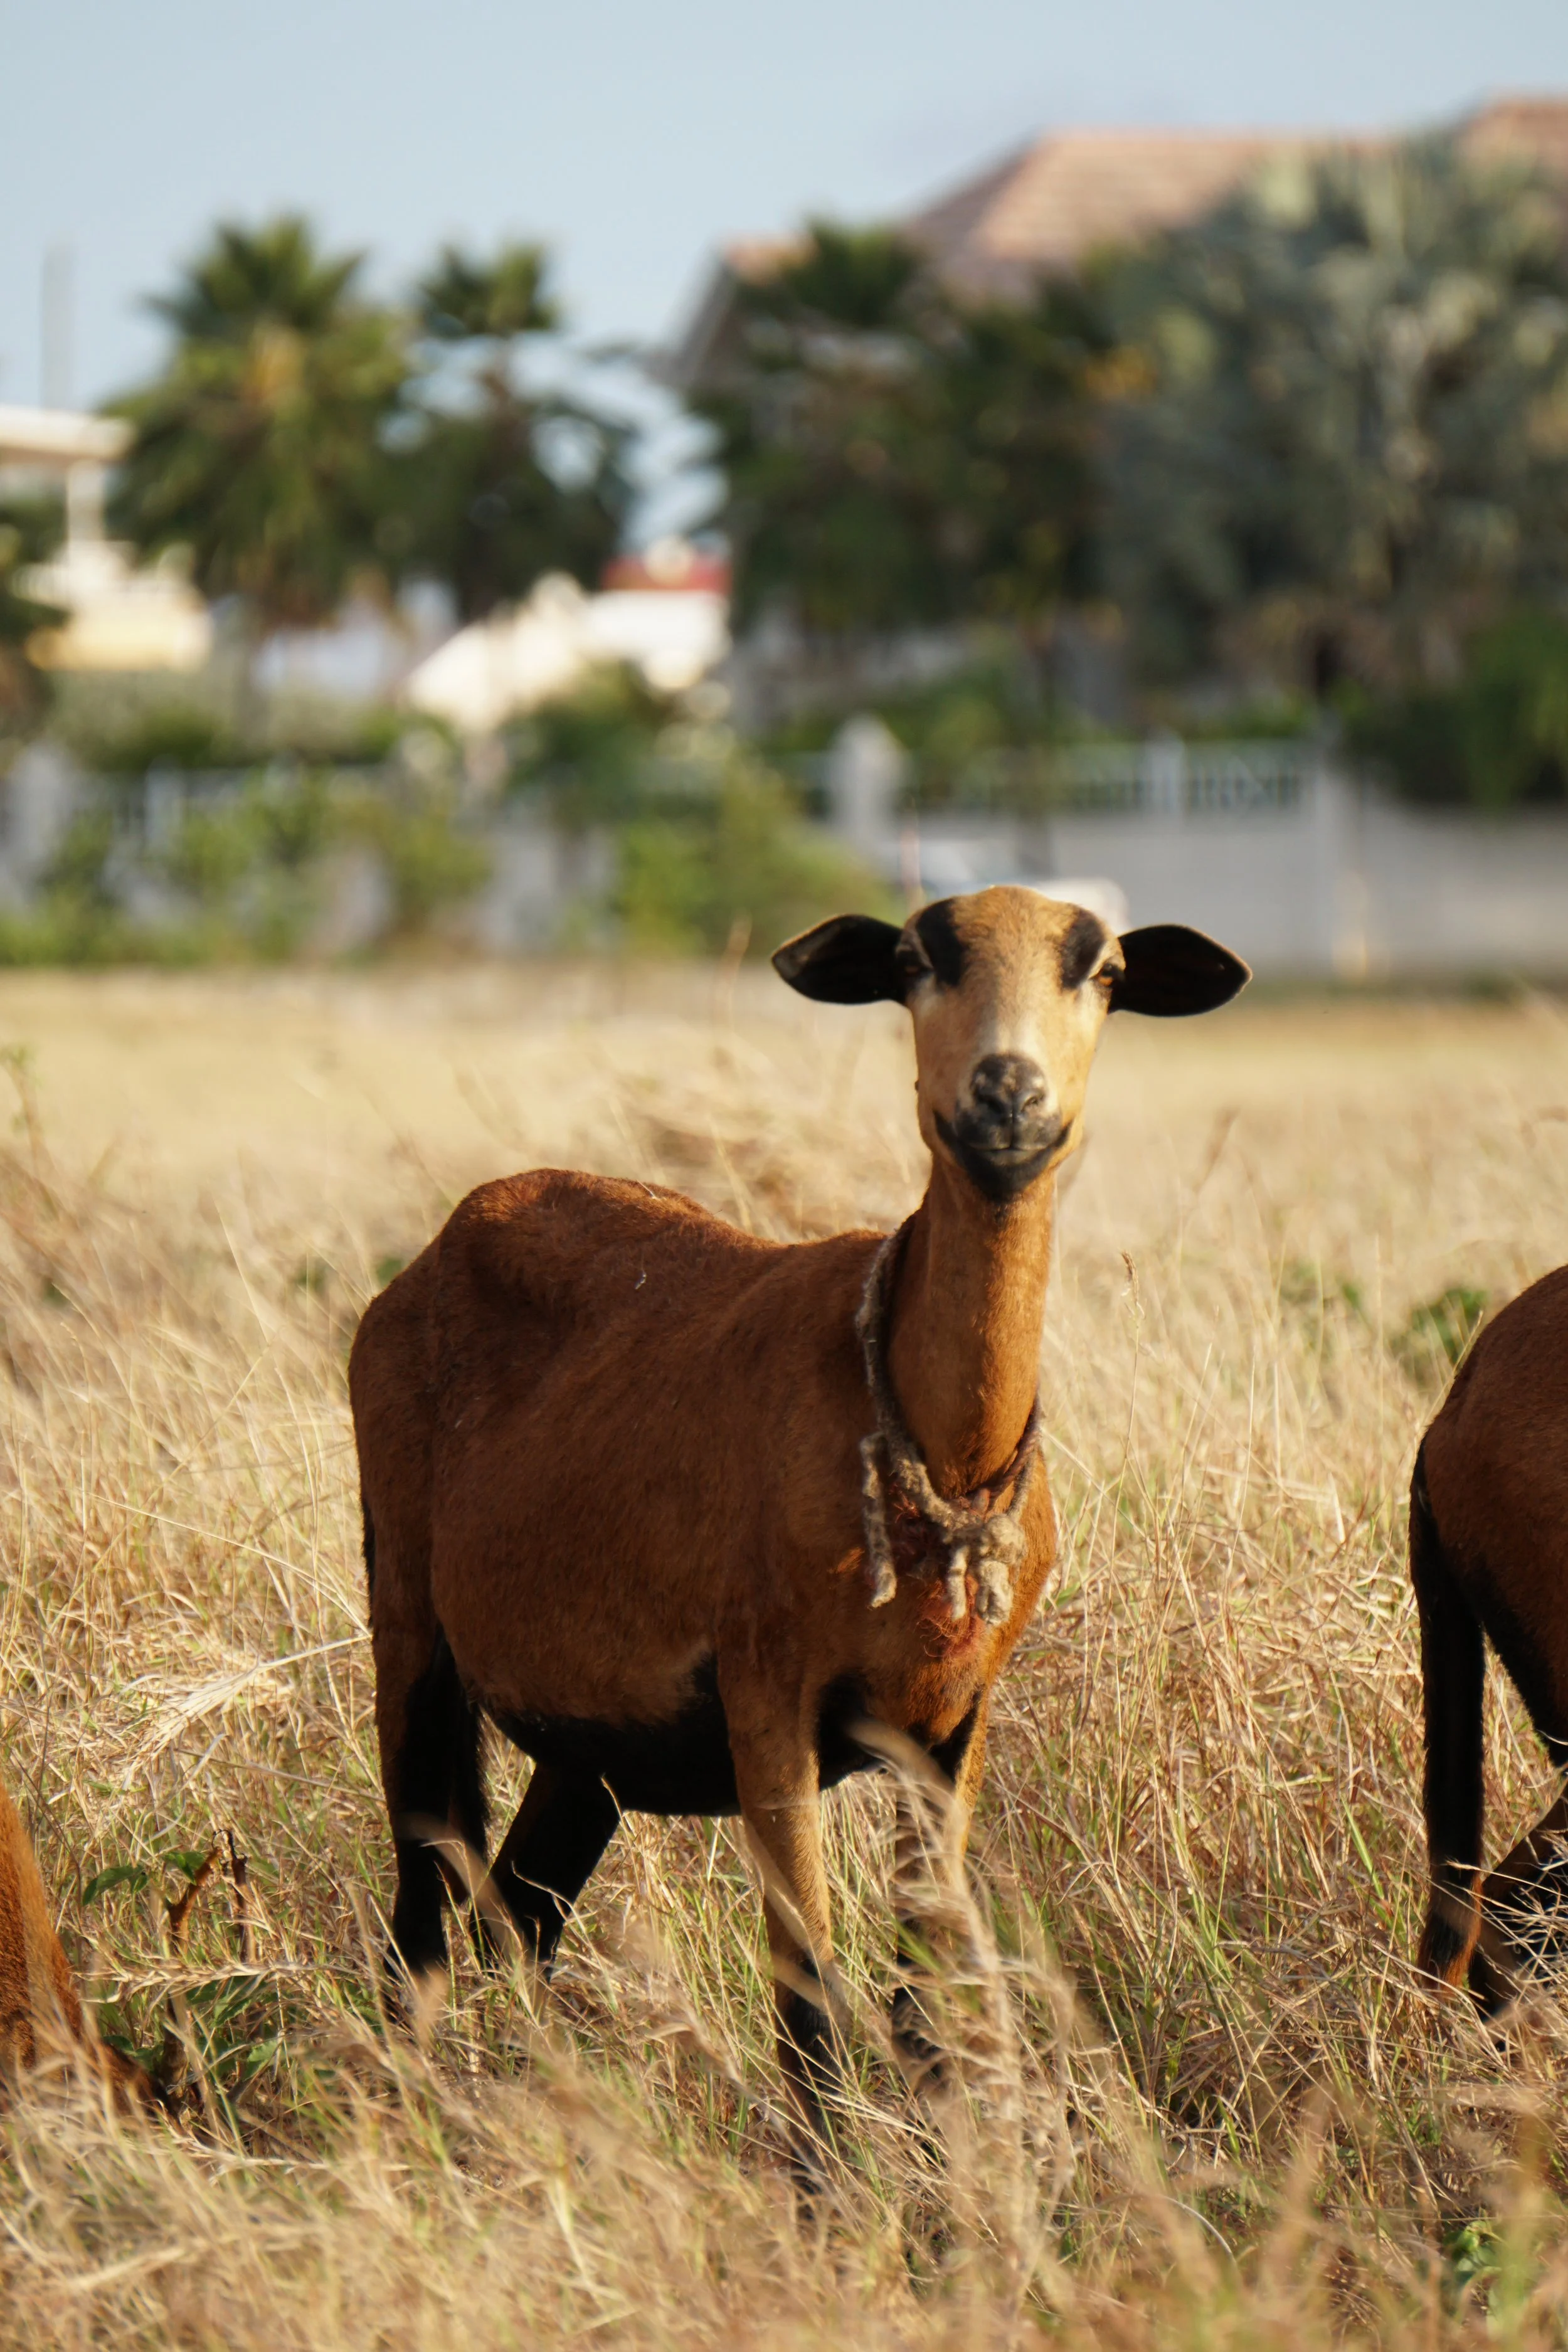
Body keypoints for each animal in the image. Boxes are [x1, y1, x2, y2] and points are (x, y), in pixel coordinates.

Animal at [349, 886, 1248, 2132]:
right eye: (916, 961)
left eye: (1104, 972)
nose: (1006, 1097)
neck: (933, 1447)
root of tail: (440, 1246)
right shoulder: (768, 1697)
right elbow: (812, 2002)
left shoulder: (952, 1725)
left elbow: (923, 2001)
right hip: (411, 1624)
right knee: (419, 1919)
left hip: (594, 1733)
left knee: (522, 1909)